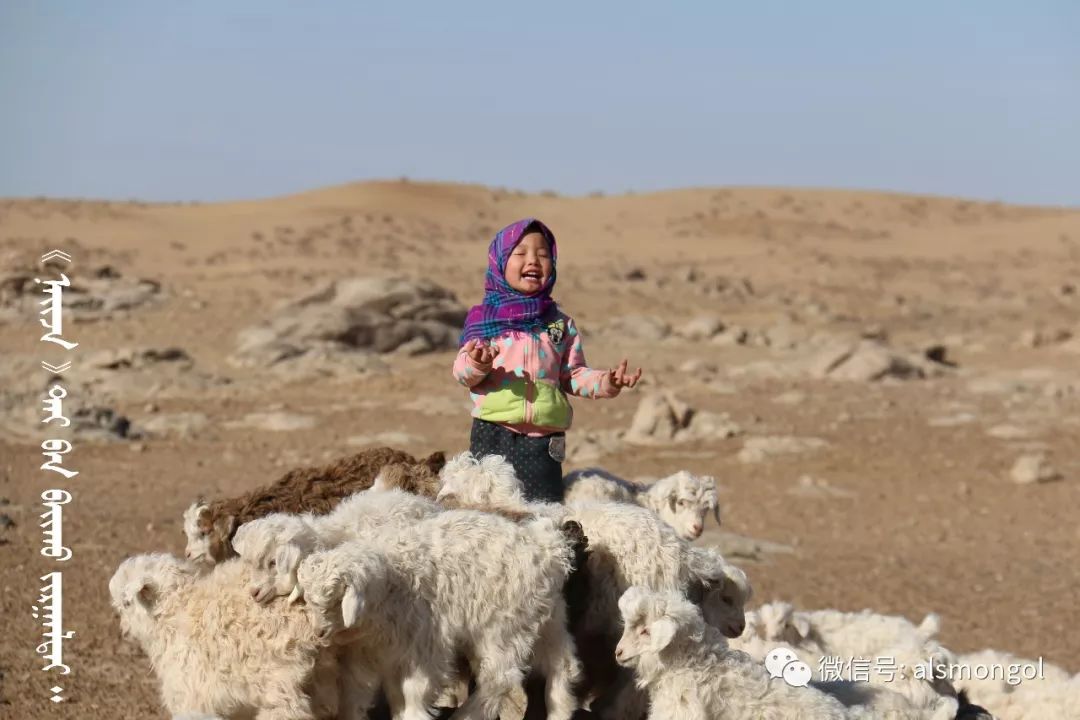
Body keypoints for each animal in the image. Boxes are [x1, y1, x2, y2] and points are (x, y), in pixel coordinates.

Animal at [295, 509, 583, 720]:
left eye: (336, 599)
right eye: (308, 599)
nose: (318, 633)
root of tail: (545, 548)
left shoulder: (424, 646)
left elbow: (413, 691)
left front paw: (414, 717)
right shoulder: (375, 653)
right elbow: (376, 693)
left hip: (504, 627)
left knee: (500, 677)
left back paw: (467, 716)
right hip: (547, 618)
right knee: (561, 663)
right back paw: (560, 710)